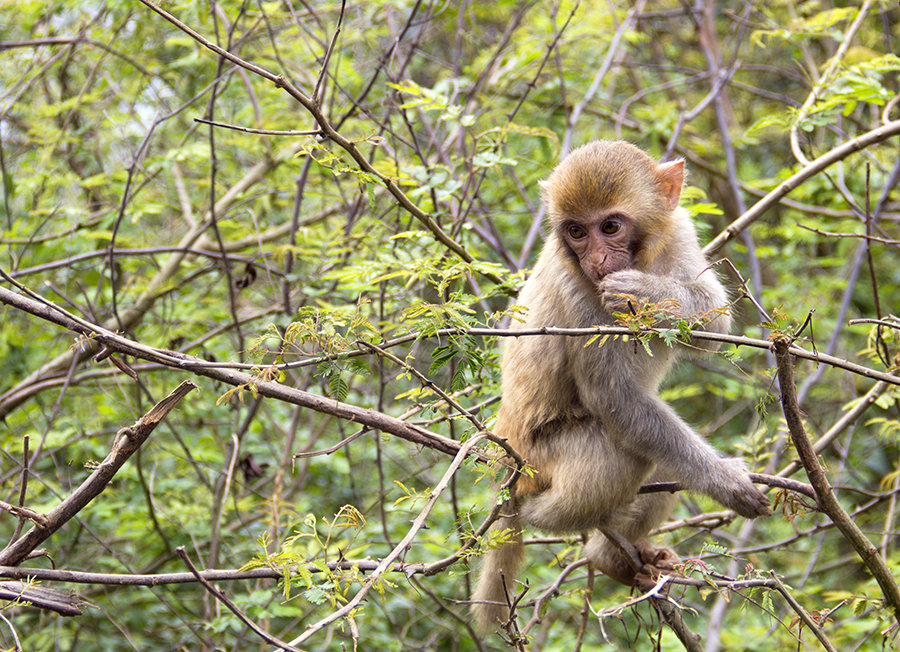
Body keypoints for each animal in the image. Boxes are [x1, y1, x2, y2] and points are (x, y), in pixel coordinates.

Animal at [468, 141, 768, 632]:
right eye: (575, 231)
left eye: (609, 226)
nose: (597, 261)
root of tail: (505, 446)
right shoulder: (579, 294)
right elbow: (614, 399)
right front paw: (725, 483)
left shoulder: (679, 230)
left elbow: (715, 319)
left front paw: (643, 293)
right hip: (538, 458)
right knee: (626, 453)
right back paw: (550, 519)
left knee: (660, 457)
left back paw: (611, 557)